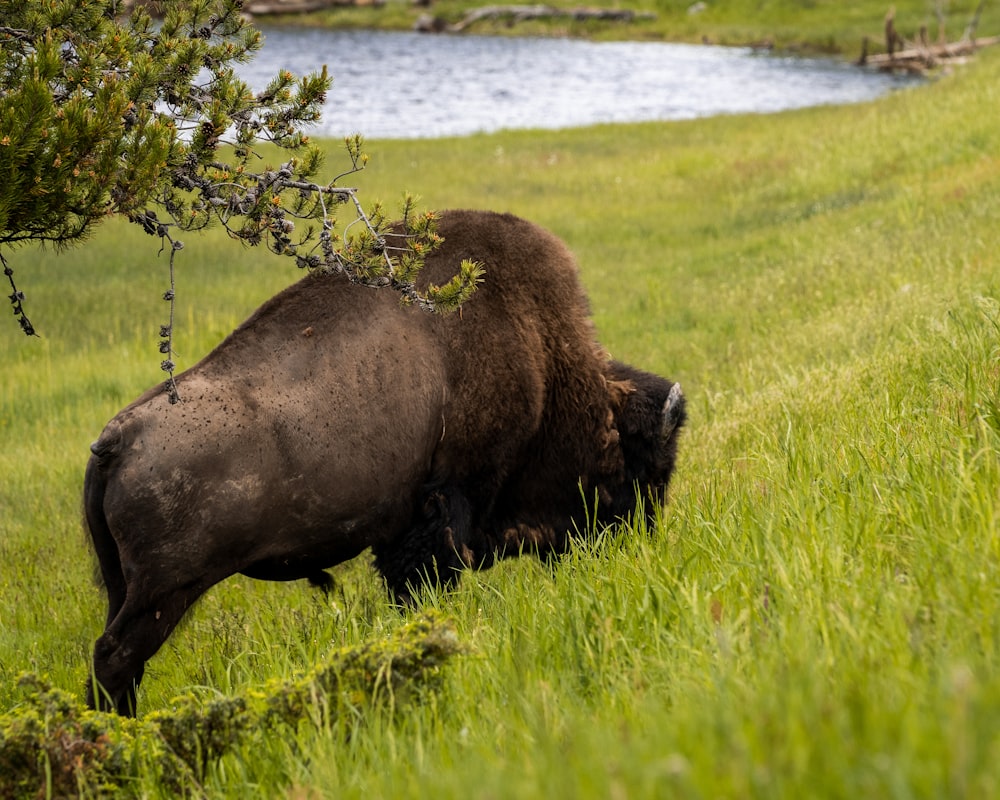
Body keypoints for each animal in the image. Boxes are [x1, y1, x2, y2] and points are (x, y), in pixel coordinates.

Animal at [84, 209, 688, 716]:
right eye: (644, 471)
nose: (635, 548)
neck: (546, 361)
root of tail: (118, 437)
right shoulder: (446, 506)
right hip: (165, 592)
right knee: (116, 656)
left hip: (126, 588)